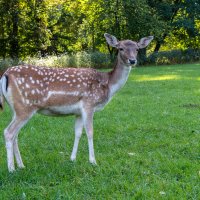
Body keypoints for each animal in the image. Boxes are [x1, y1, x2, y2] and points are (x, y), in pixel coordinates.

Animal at [0, 33, 153, 171]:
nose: (132, 61)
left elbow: (78, 132)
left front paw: (72, 158)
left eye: (137, 49)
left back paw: (21, 165)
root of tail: (5, 75)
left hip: (16, 108)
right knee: (9, 132)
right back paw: (11, 169)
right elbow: (90, 132)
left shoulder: (78, 112)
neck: (108, 85)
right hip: (25, 107)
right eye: (120, 48)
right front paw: (93, 161)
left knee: (15, 135)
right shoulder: (89, 103)